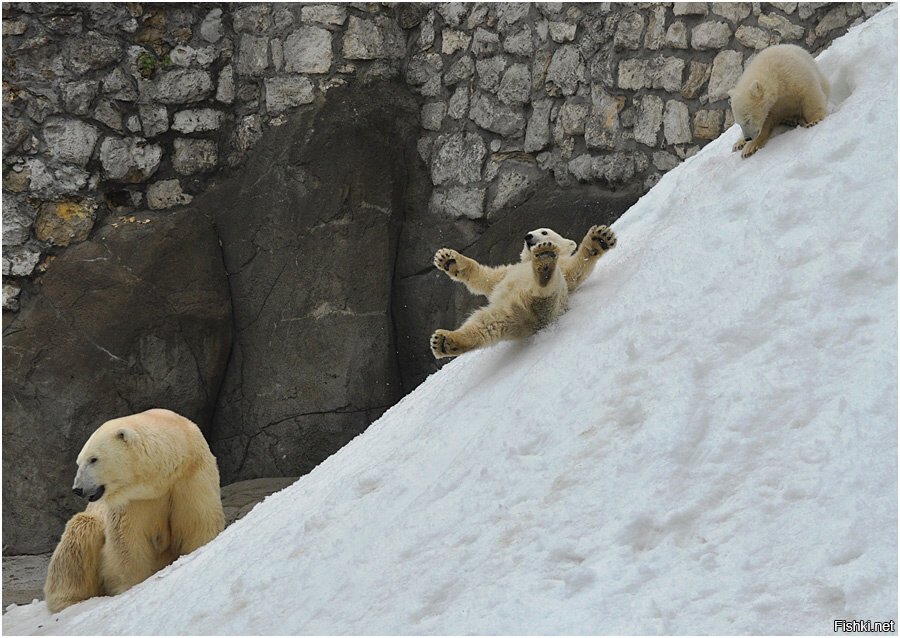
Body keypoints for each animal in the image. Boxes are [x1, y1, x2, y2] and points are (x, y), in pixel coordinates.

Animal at [44, 410, 225, 616]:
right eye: (78, 462)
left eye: (93, 459)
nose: (78, 488)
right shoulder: (133, 500)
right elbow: (128, 541)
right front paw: (132, 587)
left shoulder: (191, 477)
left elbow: (198, 524)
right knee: (79, 533)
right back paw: (69, 601)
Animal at [430, 225, 616, 358]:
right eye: (531, 232)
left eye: (544, 231)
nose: (528, 236)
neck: (528, 260)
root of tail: (530, 318)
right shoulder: (505, 273)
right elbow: (484, 277)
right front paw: (447, 259)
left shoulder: (564, 268)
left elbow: (574, 270)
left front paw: (599, 239)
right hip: (504, 314)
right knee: (483, 325)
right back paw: (444, 342)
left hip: (553, 303)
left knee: (549, 289)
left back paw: (544, 263)